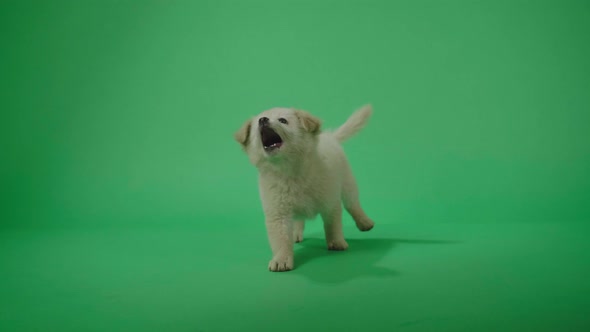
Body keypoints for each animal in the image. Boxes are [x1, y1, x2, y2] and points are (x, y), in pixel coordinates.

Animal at [235, 105, 374, 272]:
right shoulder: (278, 213)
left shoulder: (330, 202)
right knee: (298, 220)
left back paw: (365, 222)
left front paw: (336, 242)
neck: (290, 173)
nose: (263, 120)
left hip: (348, 183)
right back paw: (296, 234)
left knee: (353, 205)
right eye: (257, 124)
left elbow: (332, 225)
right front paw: (281, 259)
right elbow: (280, 240)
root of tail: (329, 136)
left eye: (283, 120)